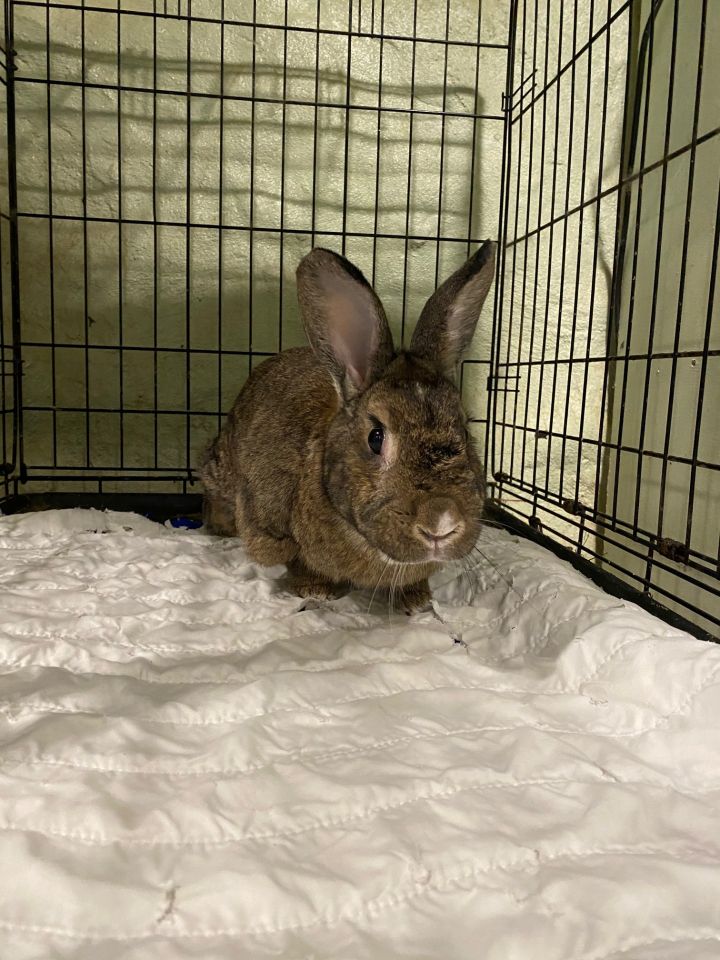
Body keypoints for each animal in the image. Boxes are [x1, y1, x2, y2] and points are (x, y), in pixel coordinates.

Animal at [200, 240, 496, 613]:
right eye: (375, 437)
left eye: (466, 431)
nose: (441, 522)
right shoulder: (269, 524)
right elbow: (296, 560)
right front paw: (316, 590)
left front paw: (417, 601)